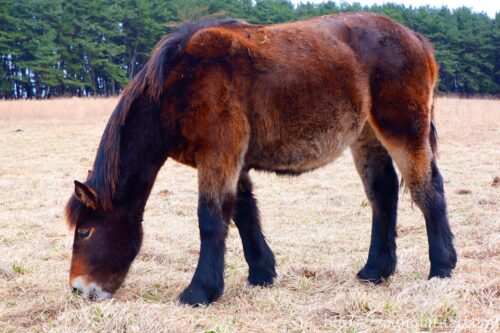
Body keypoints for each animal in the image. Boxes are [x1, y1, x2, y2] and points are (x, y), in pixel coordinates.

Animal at [65, 12, 458, 304]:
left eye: (85, 231)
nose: (79, 290)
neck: (178, 83)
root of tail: (415, 38)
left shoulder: (218, 154)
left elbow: (211, 219)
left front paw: (200, 291)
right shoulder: (231, 161)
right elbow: (243, 213)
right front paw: (261, 273)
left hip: (403, 130)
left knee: (427, 189)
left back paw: (441, 268)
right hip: (367, 136)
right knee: (383, 194)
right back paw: (376, 270)